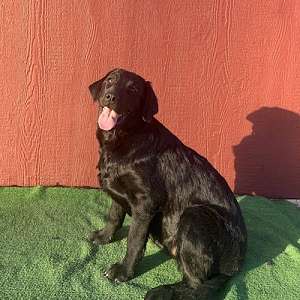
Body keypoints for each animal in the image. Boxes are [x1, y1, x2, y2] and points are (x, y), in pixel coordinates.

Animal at [86, 68, 246, 300]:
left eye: (133, 89)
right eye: (109, 81)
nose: (110, 96)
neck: (126, 138)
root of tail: (235, 265)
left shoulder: (145, 202)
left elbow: (134, 240)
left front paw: (124, 271)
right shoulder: (118, 191)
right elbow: (114, 217)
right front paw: (103, 236)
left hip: (195, 215)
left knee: (197, 285)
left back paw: (161, 291)